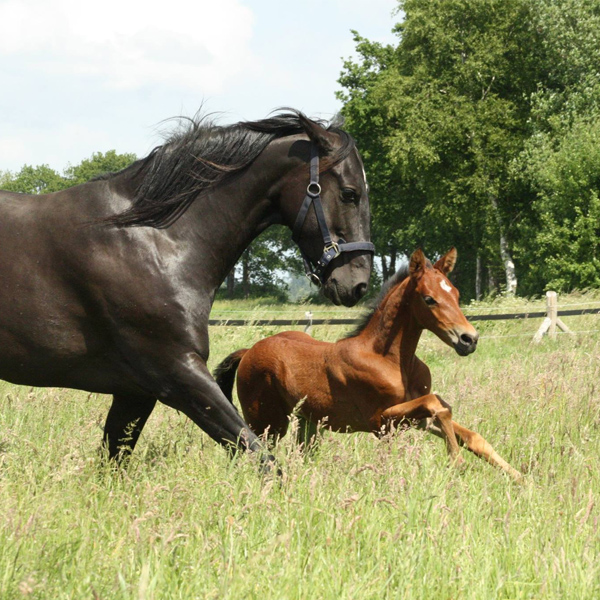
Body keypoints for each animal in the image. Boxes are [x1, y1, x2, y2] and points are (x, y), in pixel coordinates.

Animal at [0, 111, 372, 468]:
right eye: (349, 193)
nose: (358, 283)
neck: (156, 240)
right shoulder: (178, 374)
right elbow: (260, 457)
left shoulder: (136, 392)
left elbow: (113, 464)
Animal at [214, 251, 520, 480]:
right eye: (429, 299)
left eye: (456, 295)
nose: (469, 339)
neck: (391, 359)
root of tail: (249, 351)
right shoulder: (380, 421)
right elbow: (436, 404)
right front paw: (456, 462)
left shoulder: (414, 420)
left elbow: (469, 432)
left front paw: (520, 477)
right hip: (267, 422)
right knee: (248, 448)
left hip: (308, 423)